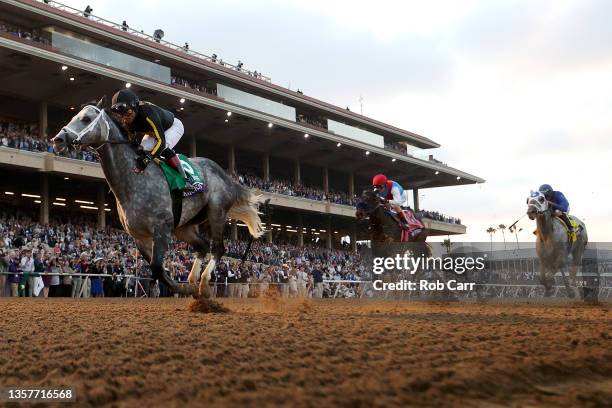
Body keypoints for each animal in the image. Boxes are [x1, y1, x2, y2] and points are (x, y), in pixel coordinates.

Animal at [51, 97, 264, 298]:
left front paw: (184, 288)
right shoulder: (139, 236)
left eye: (86, 119)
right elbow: (158, 270)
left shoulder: (161, 229)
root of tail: (225, 175)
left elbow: (156, 267)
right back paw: (193, 280)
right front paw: (183, 288)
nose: (58, 139)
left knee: (218, 249)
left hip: (216, 212)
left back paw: (203, 284)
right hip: (183, 226)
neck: (133, 180)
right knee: (203, 246)